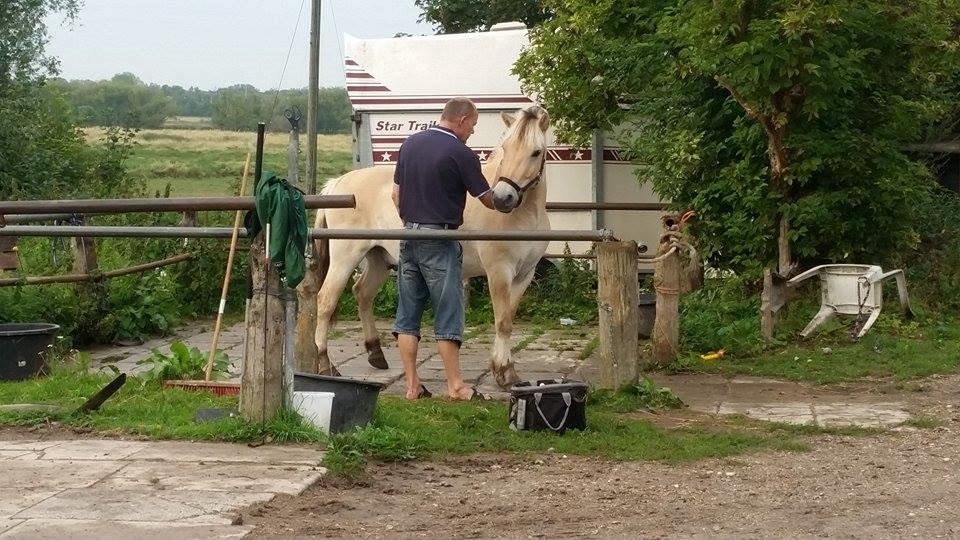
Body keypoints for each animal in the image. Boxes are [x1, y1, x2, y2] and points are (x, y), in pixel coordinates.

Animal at [310, 104, 548, 388]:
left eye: (536, 152)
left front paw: (506, 371)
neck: (524, 215)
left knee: (362, 293)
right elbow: (502, 321)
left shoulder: (525, 274)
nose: (503, 198)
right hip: (345, 258)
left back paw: (376, 353)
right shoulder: (499, 272)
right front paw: (503, 372)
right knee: (325, 301)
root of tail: (337, 184)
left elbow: (509, 318)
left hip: (378, 259)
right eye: (506, 148)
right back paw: (325, 364)